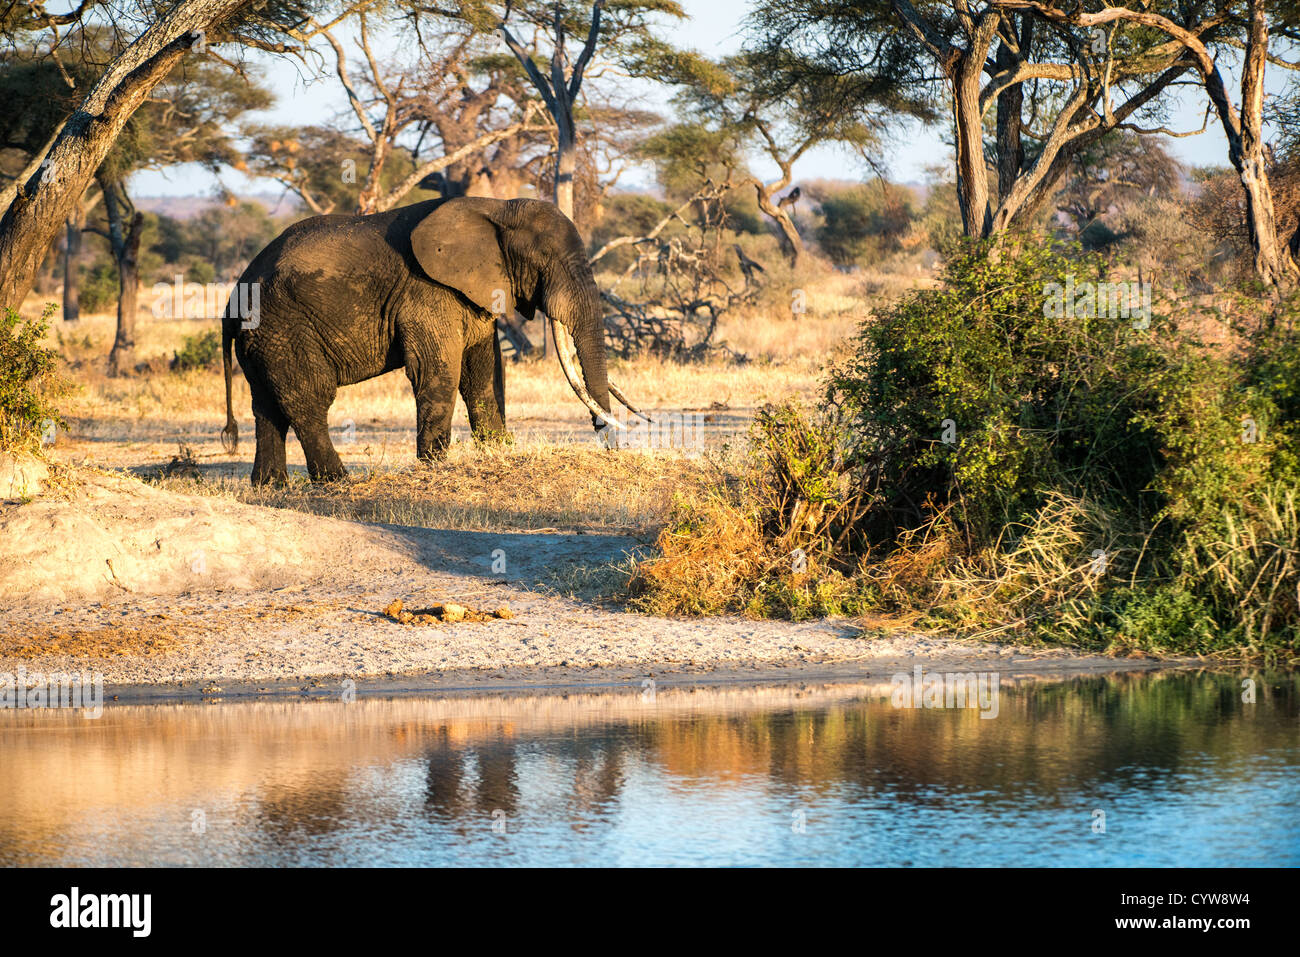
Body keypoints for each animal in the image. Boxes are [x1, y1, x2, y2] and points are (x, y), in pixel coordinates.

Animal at [223, 193, 650, 481]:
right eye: (544, 261)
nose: (609, 442)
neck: (497, 208)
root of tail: (233, 298)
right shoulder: (426, 291)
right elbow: (439, 369)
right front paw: (434, 466)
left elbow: (483, 372)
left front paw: (498, 452)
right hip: (284, 325)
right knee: (308, 399)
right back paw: (338, 482)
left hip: (263, 336)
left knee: (267, 405)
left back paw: (271, 487)